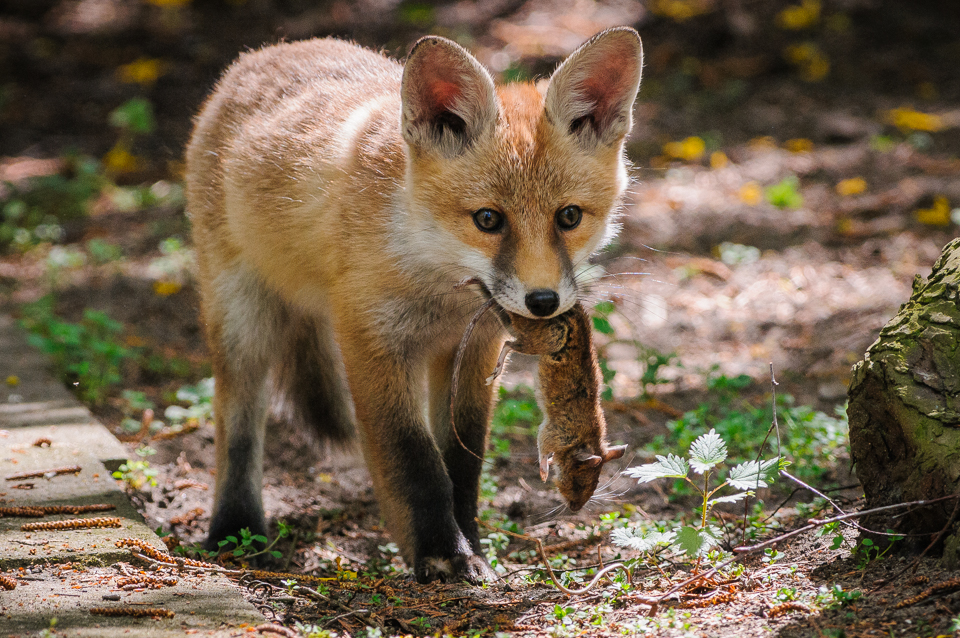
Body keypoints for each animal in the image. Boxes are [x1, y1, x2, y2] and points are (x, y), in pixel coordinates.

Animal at [184, 26, 640, 584]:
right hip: (241, 321)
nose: (543, 301)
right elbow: (413, 460)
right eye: (488, 219)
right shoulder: (371, 340)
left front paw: (470, 546)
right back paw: (234, 531)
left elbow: (462, 461)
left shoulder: (473, 348)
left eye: (569, 216)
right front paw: (441, 553)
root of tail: (273, 50)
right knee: (238, 428)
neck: (435, 287)